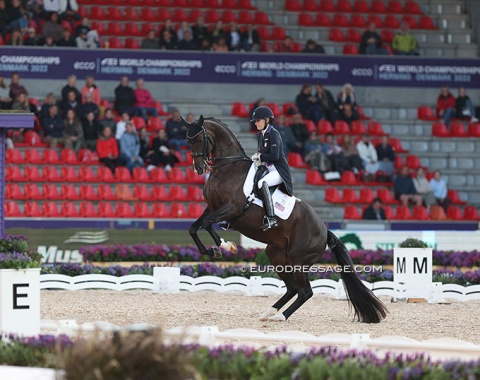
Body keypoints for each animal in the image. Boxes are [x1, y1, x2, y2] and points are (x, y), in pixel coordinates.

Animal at [182, 114, 388, 322]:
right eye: (188, 140)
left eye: (199, 139)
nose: (199, 168)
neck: (227, 168)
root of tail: (324, 230)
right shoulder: (212, 208)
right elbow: (194, 228)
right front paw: (211, 250)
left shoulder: (231, 208)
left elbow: (207, 224)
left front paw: (225, 246)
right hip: (277, 254)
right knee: (292, 288)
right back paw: (269, 313)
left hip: (298, 260)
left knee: (305, 291)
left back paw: (281, 316)